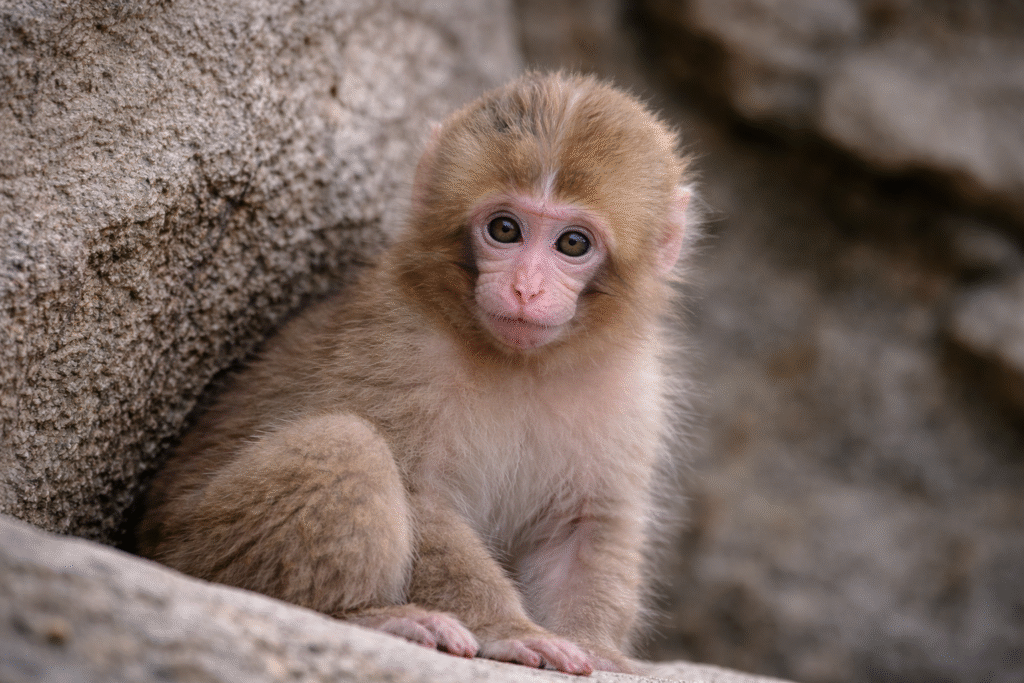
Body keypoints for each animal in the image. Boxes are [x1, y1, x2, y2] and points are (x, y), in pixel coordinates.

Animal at [137, 71, 695, 676]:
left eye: (573, 243)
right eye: (505, 229)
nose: (525, 288)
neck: (521, 363)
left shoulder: (629, 389)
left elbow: (587, 523)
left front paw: (595, 646)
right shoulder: (401, 346)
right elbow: (419, 493)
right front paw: (510, 630)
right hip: (200, 546)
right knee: (345, 441)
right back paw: (369, 616)